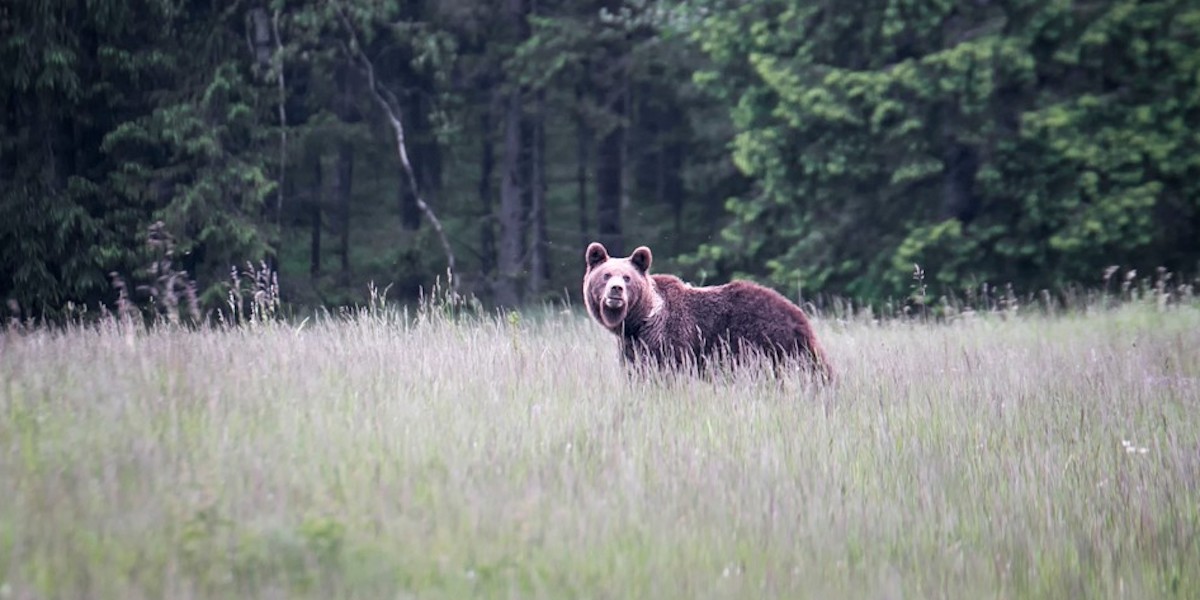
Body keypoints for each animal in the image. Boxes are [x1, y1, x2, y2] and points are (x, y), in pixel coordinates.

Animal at [583, 241, 835, 381]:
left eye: (627, 277)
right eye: (606, 275)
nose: (616, 289)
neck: (641, 320)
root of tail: (799, 315)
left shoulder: (671, 340)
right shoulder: (633, 346)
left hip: (765, 343)